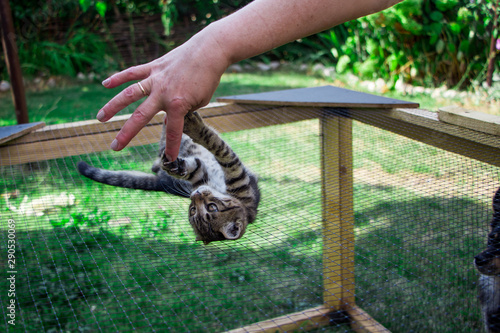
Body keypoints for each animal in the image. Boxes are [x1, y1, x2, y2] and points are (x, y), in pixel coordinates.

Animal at [77, 110, 262, 243]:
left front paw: (195, 129)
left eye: (211, 207)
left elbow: (218, 147)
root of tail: (161, 182)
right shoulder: (202, 177)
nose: (195, 194)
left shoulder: (236, 177)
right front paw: (177, 167)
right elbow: (208, 156)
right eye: (193, 210)